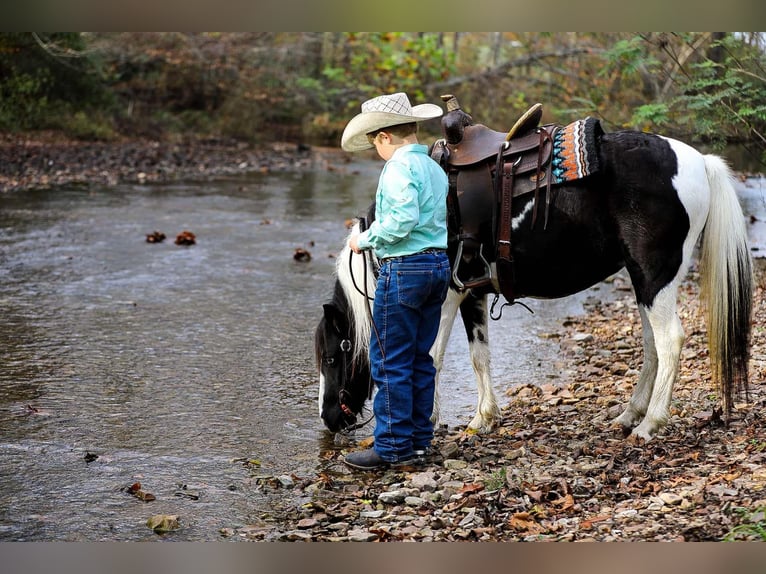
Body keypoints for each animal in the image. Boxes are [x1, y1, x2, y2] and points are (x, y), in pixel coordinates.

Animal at [315, 118, 753, 442]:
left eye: (333, 356)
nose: (329, 419)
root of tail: (699, 162)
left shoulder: (444, 295)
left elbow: (431, 357)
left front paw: (433, 422)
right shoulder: (471, 292)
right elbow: (478, 355)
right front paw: (483, 418)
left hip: (654, 276)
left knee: (670, 341)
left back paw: (650, 424)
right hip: (645, 281)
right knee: (651, 344)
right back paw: (629, 415)